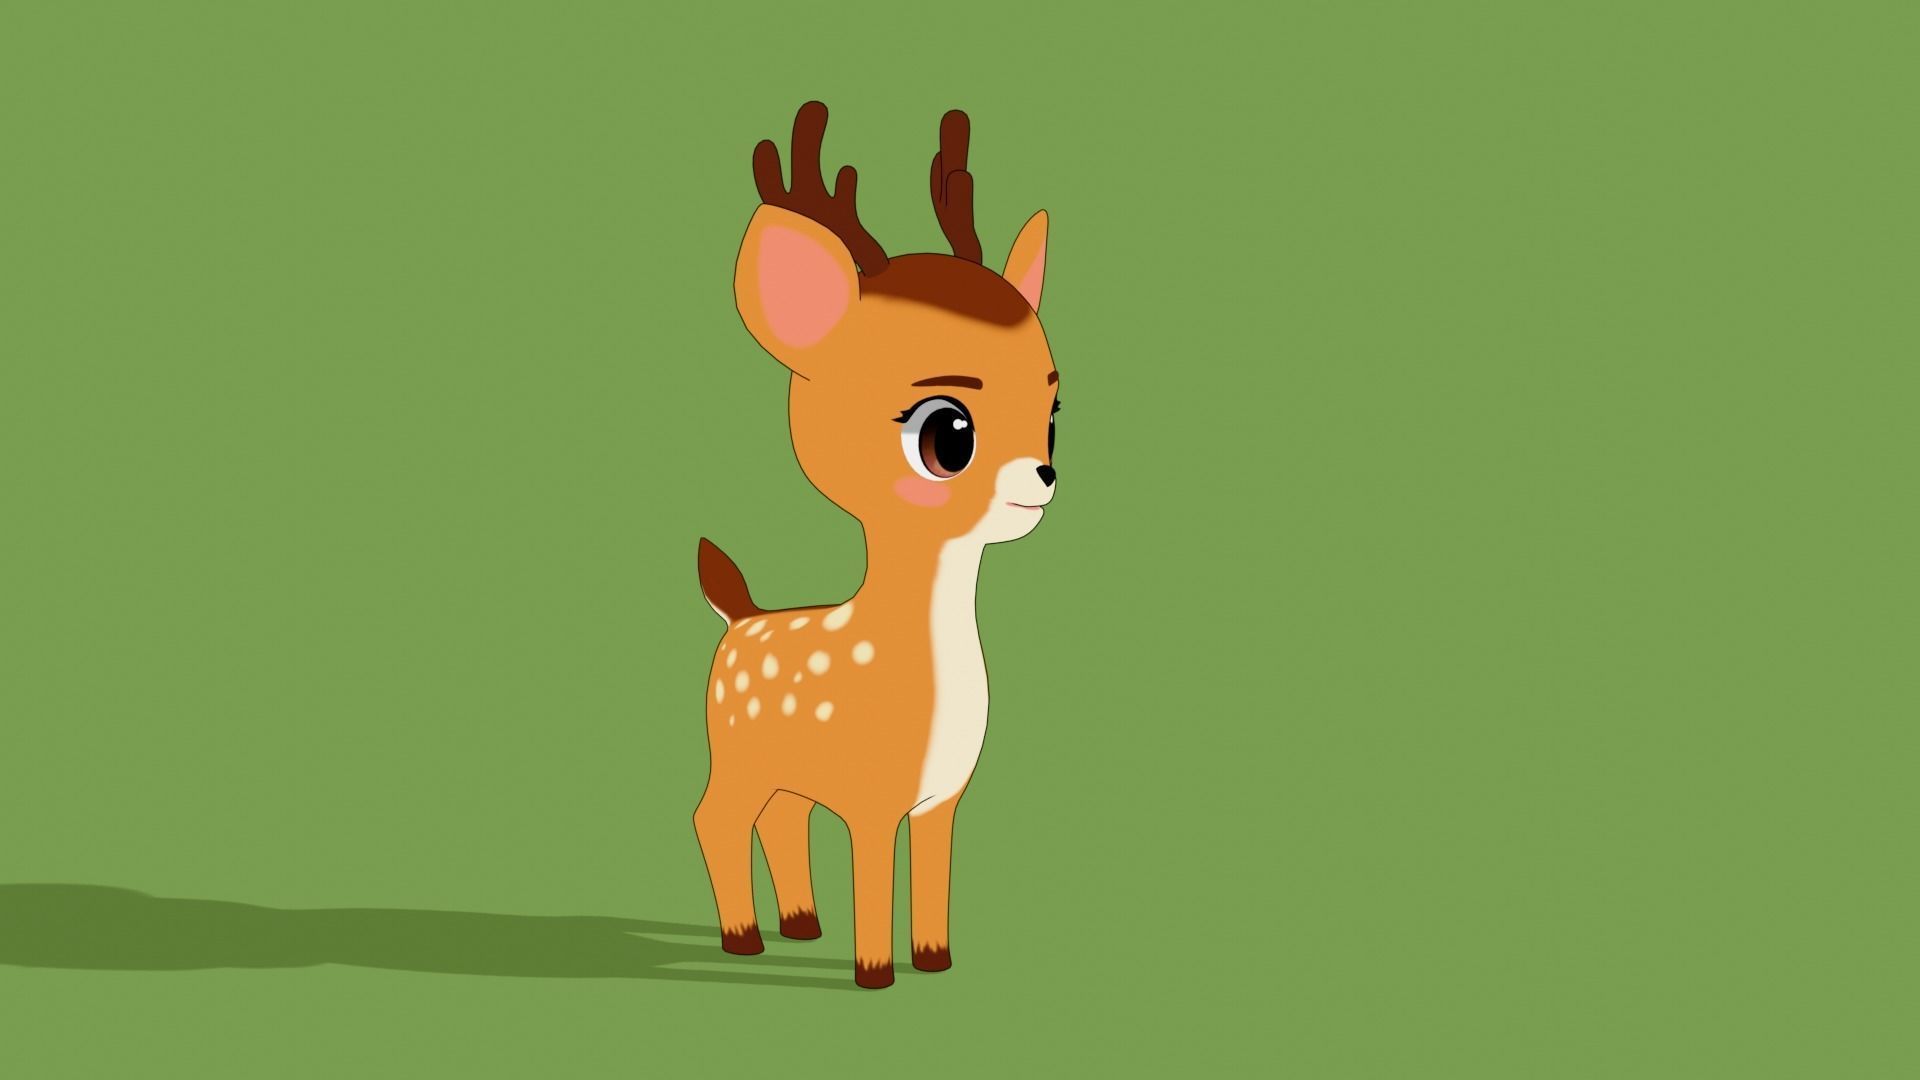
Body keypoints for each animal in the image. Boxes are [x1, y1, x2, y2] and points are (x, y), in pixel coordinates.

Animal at [692, 101, 1059, 989]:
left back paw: (798, 923)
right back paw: (743, 939)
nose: (1044, 475)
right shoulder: (868, 798)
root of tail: (736, 614)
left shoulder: (942, 800)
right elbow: (874, 877)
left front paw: (935, 961)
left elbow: (933, 877)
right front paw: (874, 973)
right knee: (714, 818)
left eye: (1054, 412)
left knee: (779, 819)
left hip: (782, 769)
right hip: (737, 751)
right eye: (948, 434)